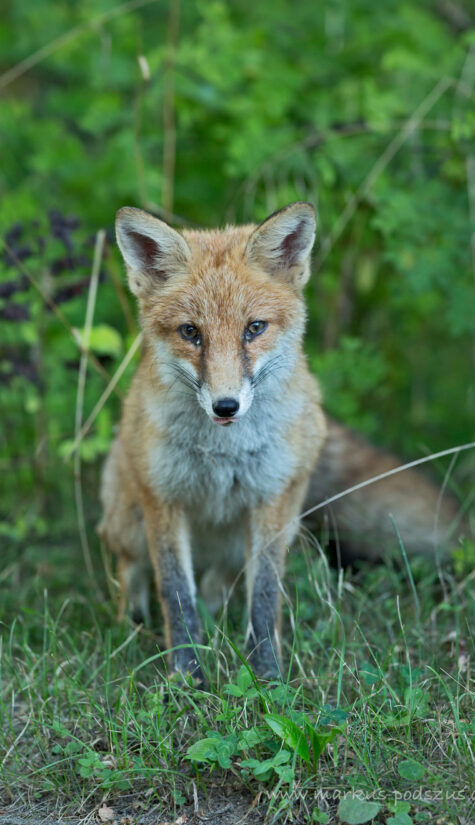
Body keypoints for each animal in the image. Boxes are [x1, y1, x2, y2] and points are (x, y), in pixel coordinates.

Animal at [98, 201, 464, 682]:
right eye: (191, 332)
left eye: (254, 328)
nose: (226, 406)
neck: (223, 453)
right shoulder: (163, 497)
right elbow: (176, 596)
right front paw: (186, 675)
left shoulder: (272, 499)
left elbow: (265, 595)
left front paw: (265, 673)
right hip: (127, 518)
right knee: (134, 572)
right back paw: (130, 623)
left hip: (266, 529)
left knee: (218, 586)